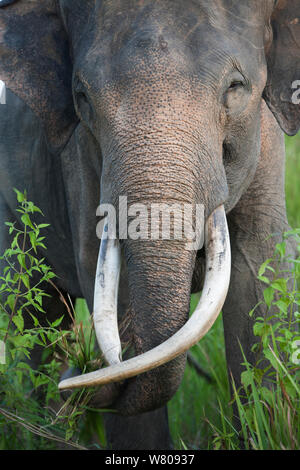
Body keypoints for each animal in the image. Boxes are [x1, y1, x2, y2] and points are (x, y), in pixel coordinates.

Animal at [0, 0, 298, 450]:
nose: (78, 378)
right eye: (82, 98)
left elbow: (261, 276)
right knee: (34, 314)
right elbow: (112, 285)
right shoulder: (79, 164)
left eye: (235, 86)